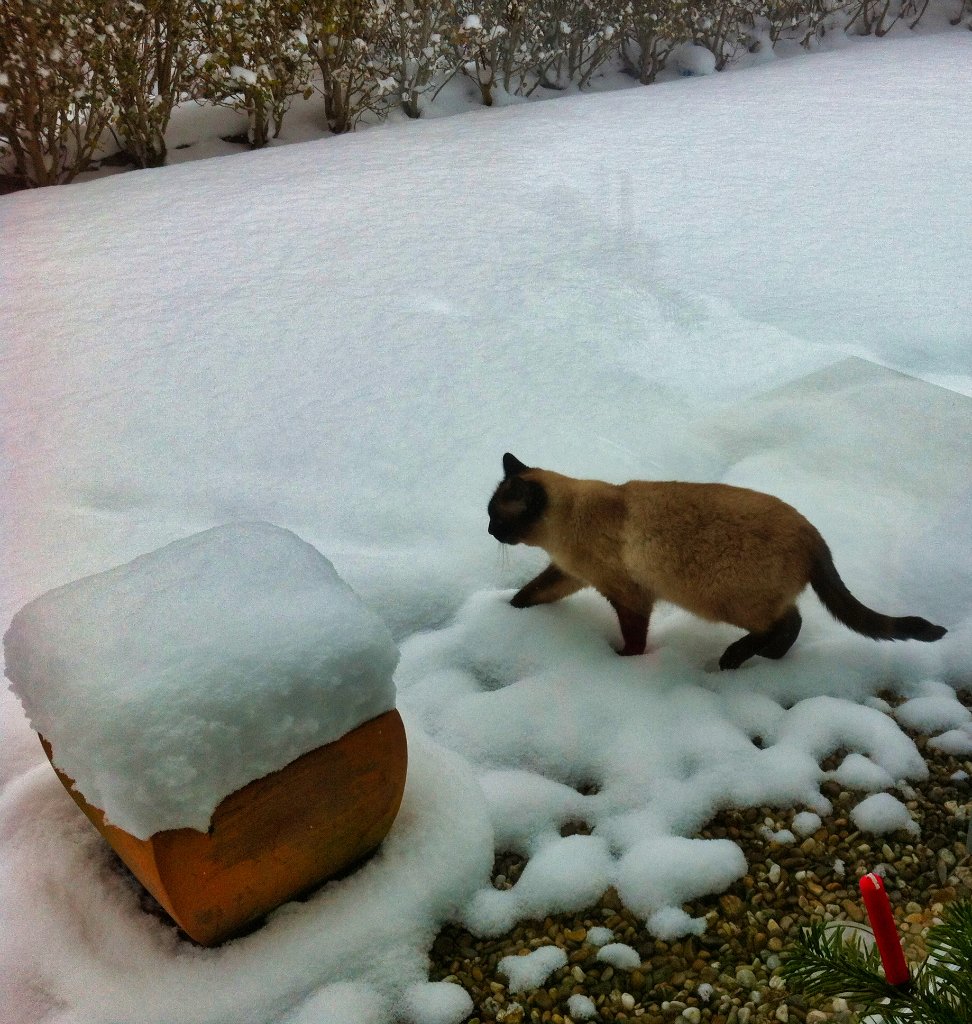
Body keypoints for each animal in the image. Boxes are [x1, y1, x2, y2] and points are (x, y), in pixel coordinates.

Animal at [487, 453, 947, 669]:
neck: (568, 523)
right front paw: (507, 612)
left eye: (498, 516)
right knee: (791, 620)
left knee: (784, 622)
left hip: (724, 599)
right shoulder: (567, 574)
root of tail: (813, 534)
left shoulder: (629, 596)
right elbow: (530, 593)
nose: (489, 531)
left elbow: (634, 641)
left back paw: (737, 658)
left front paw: (621, 664)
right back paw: (768, 659)